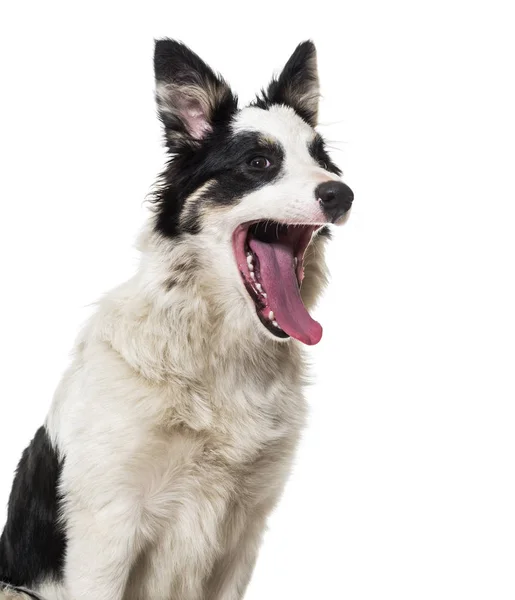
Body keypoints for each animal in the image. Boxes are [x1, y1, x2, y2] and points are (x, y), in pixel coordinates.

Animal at [0, 39, 352, 596]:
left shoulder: (242, 532)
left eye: (323, 160)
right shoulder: (106, 531)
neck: (216, 350)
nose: (342, 193)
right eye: (259, 162)